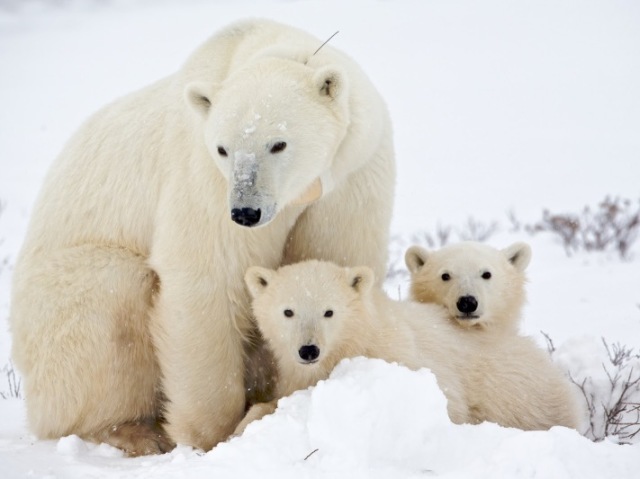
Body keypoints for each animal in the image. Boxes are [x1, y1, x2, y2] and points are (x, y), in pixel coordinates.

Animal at [10, 19, 396, 458]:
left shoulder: (351, 176)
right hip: (58, 305)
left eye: (278, 143)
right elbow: (207, 277)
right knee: (111, 303)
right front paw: (212, 435)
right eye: (223, 148)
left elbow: (334, 259)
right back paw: (135, 432)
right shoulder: (204, 178)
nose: (246, 212)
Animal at [234, 260, 580, 436]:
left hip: (522, 395)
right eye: (288, 311)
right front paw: (245, 424)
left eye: (329, 312)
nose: (308, 350)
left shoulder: (403, 359)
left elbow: (447, 405)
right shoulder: (294, 374)